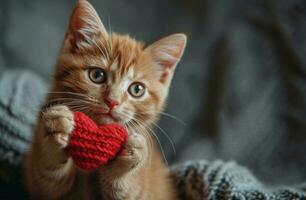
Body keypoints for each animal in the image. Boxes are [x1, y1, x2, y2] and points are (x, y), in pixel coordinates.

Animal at [24, 0, 186, 199]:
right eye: (97, 75)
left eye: (137, 89)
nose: (112, 101)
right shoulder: (38, 186)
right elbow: (46, 178)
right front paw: (54, 130)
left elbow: (130, 191)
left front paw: (126, 164)